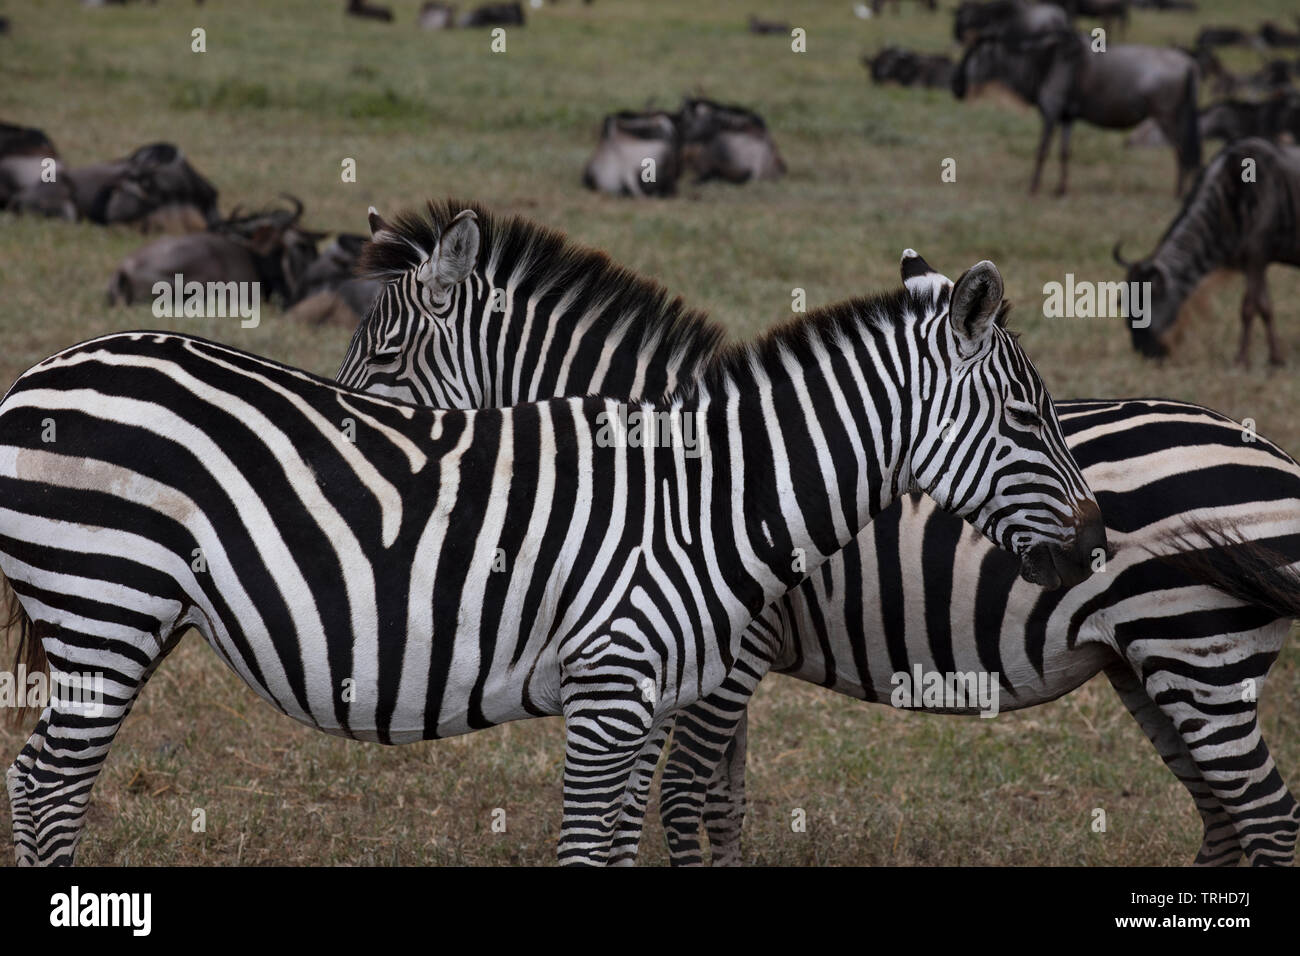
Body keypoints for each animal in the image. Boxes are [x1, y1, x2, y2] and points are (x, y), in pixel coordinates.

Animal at [0, 241, 1104, 865]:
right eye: (1027, 416)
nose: (1097, 542)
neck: (708, 500)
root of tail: (42, 372)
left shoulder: (657, 698)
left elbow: (629, 843)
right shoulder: (612, 694)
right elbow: (597, 844)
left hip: (124, 615)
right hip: (105, 607)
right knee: (47, 786)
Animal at [339, 202, 1299, 865]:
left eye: (382, 363)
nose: (345, 438)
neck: (691, 471)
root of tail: (1274, 454)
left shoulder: (732, 655)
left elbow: (686, 797)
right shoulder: (708, 654)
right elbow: (721, 799)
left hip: (1196, 655)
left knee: (1266, 815)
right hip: (1150, 668)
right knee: (1225, 819)